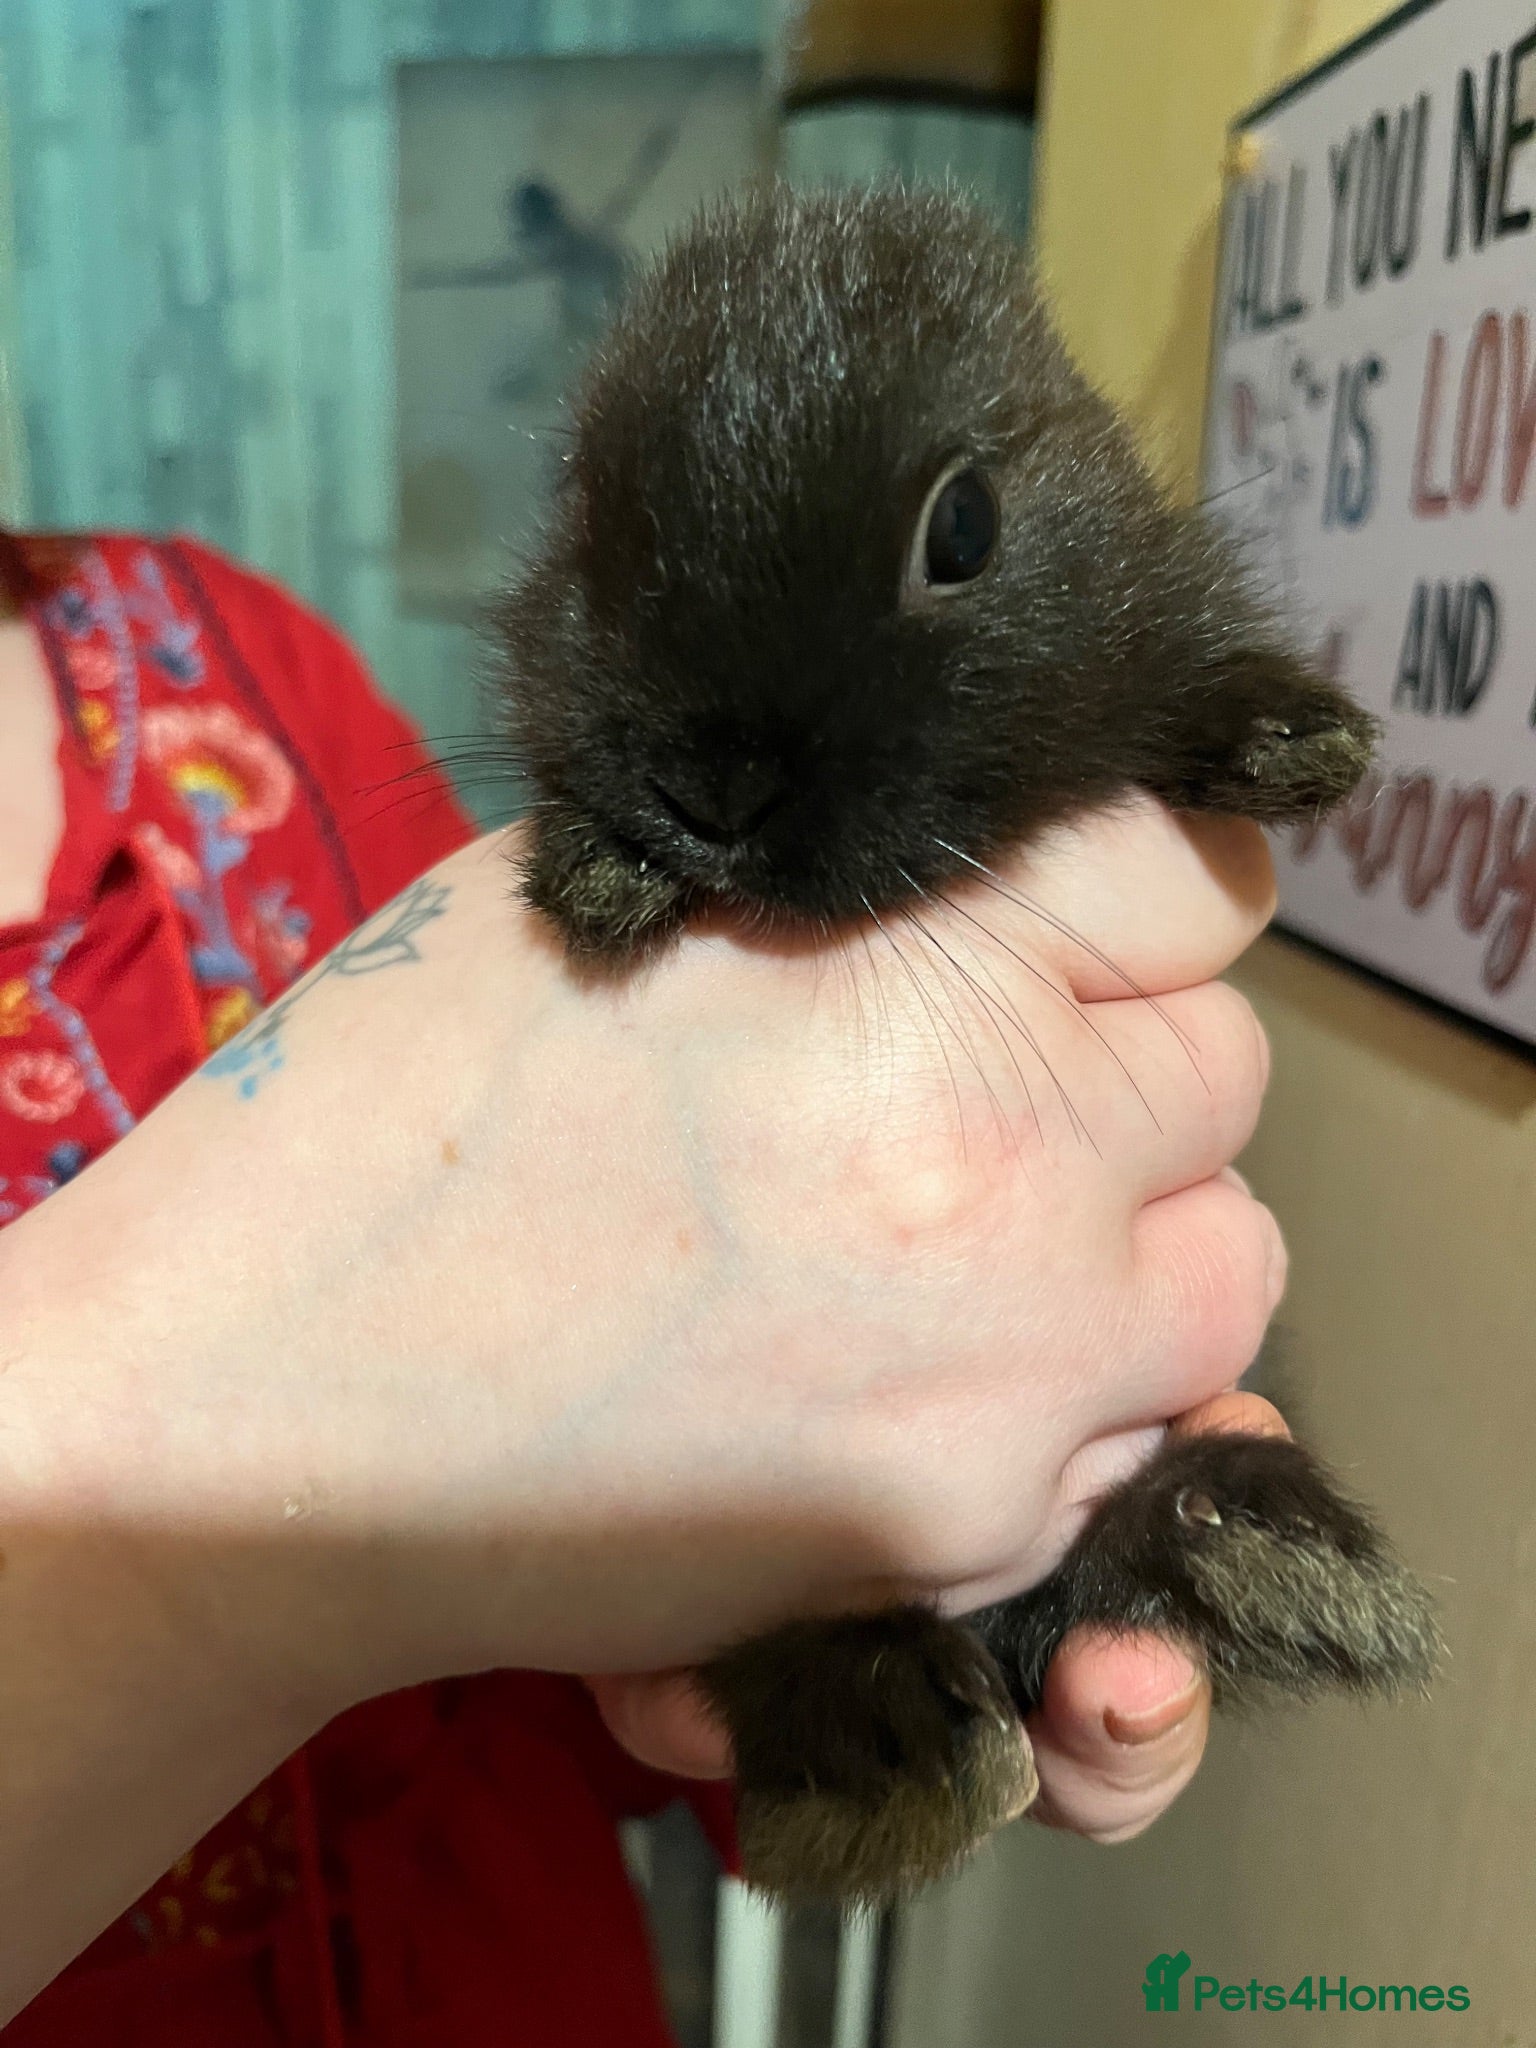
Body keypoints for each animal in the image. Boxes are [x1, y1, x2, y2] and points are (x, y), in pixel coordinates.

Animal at [491, 180, 1439, 1905]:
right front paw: (598, 873)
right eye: (593, 524)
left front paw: (1291, 737)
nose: (716, 786)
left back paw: (1266, 1553)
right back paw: (895, 1744)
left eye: (967, 529)